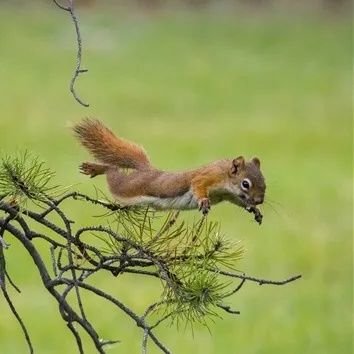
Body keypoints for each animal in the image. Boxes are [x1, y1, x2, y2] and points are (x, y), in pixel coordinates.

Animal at [72, 120, 266, 223]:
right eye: (245, 183)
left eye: (264, 183)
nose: (259, 200)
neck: (226, 177)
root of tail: (148, 170)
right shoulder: (209, 176)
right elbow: (198, 184)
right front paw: (203, 200)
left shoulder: (229, 196)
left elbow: (239, 202)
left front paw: (254, 210)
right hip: (126, 188)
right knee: (113, 173)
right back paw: (97, 168)